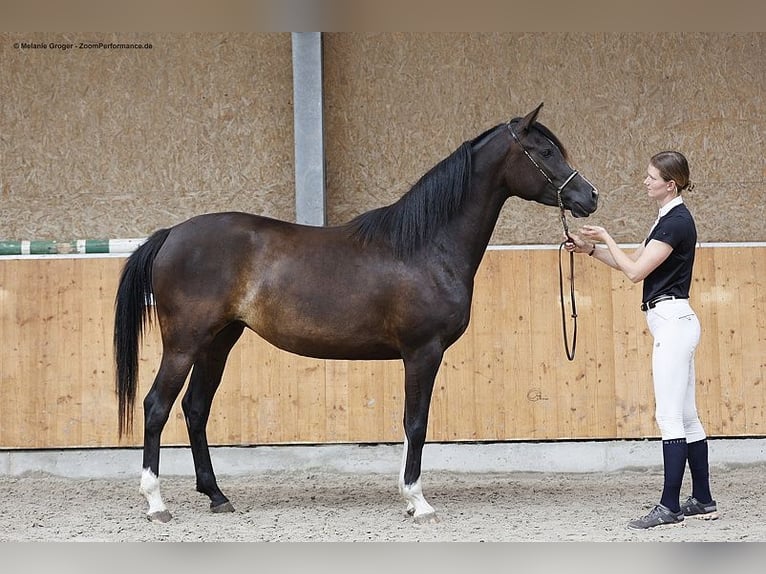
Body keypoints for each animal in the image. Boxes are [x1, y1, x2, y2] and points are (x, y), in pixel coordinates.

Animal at [114, 101, 600, 524]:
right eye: (545, 152)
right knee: (156, 406)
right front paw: (418, 503)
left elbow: (409, 425)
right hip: (185, 343)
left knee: (196, 409)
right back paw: (156, 504)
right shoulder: (423, 352)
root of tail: (172, 233)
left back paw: (217, 496)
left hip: (219, 341)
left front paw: (408, 498)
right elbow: (416, 423)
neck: (425, 245)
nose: (590, 196)